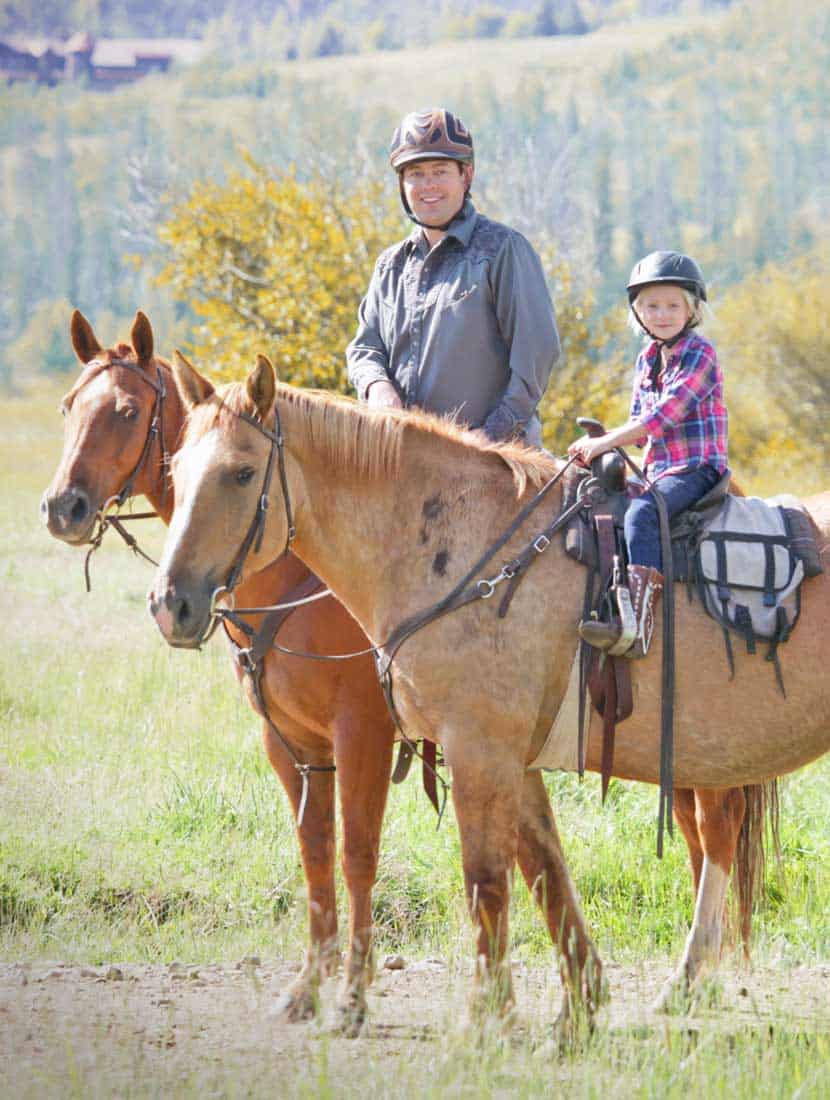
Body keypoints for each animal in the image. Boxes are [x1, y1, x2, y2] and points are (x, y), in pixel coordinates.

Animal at [150, 356, 826, 1016]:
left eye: (241, 473)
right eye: (177, 468)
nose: (169, 604)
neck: (465, 550)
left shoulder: (473, 748)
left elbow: (482, 879)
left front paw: (487, 1020)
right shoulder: (507, 760)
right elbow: (543, 868)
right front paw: (572, 1014)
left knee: (713, 837)